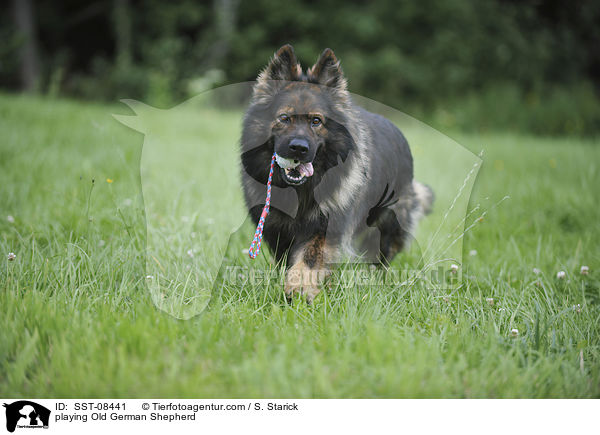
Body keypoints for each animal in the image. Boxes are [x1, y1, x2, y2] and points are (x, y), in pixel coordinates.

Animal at [241, 44, 434, 304]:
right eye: (284, 118)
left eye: (316, 121)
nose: (299, 148)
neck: (301, 190)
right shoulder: (276, 229)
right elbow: (287, 260)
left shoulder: (325, 228)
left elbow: (310, 258)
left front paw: (300, 288)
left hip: (387, 225)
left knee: (381, 256)